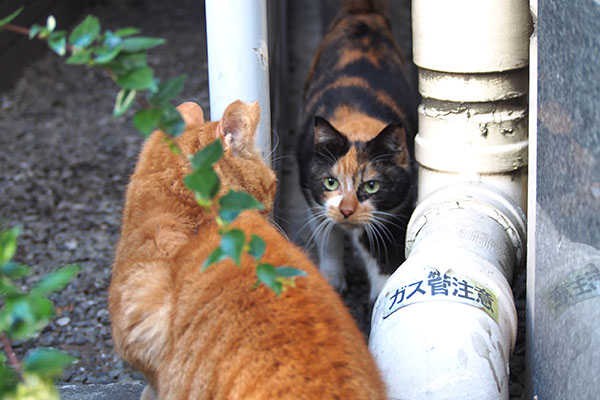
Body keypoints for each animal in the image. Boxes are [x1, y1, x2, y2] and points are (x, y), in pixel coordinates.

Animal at [296, 0, 418, 300]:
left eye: (372, 186)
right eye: (330, 182)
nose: (347, 210)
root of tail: (362, 12)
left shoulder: (393, 213)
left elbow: (383, 258)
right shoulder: (312, 197)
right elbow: (327, 238)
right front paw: (332, 279)